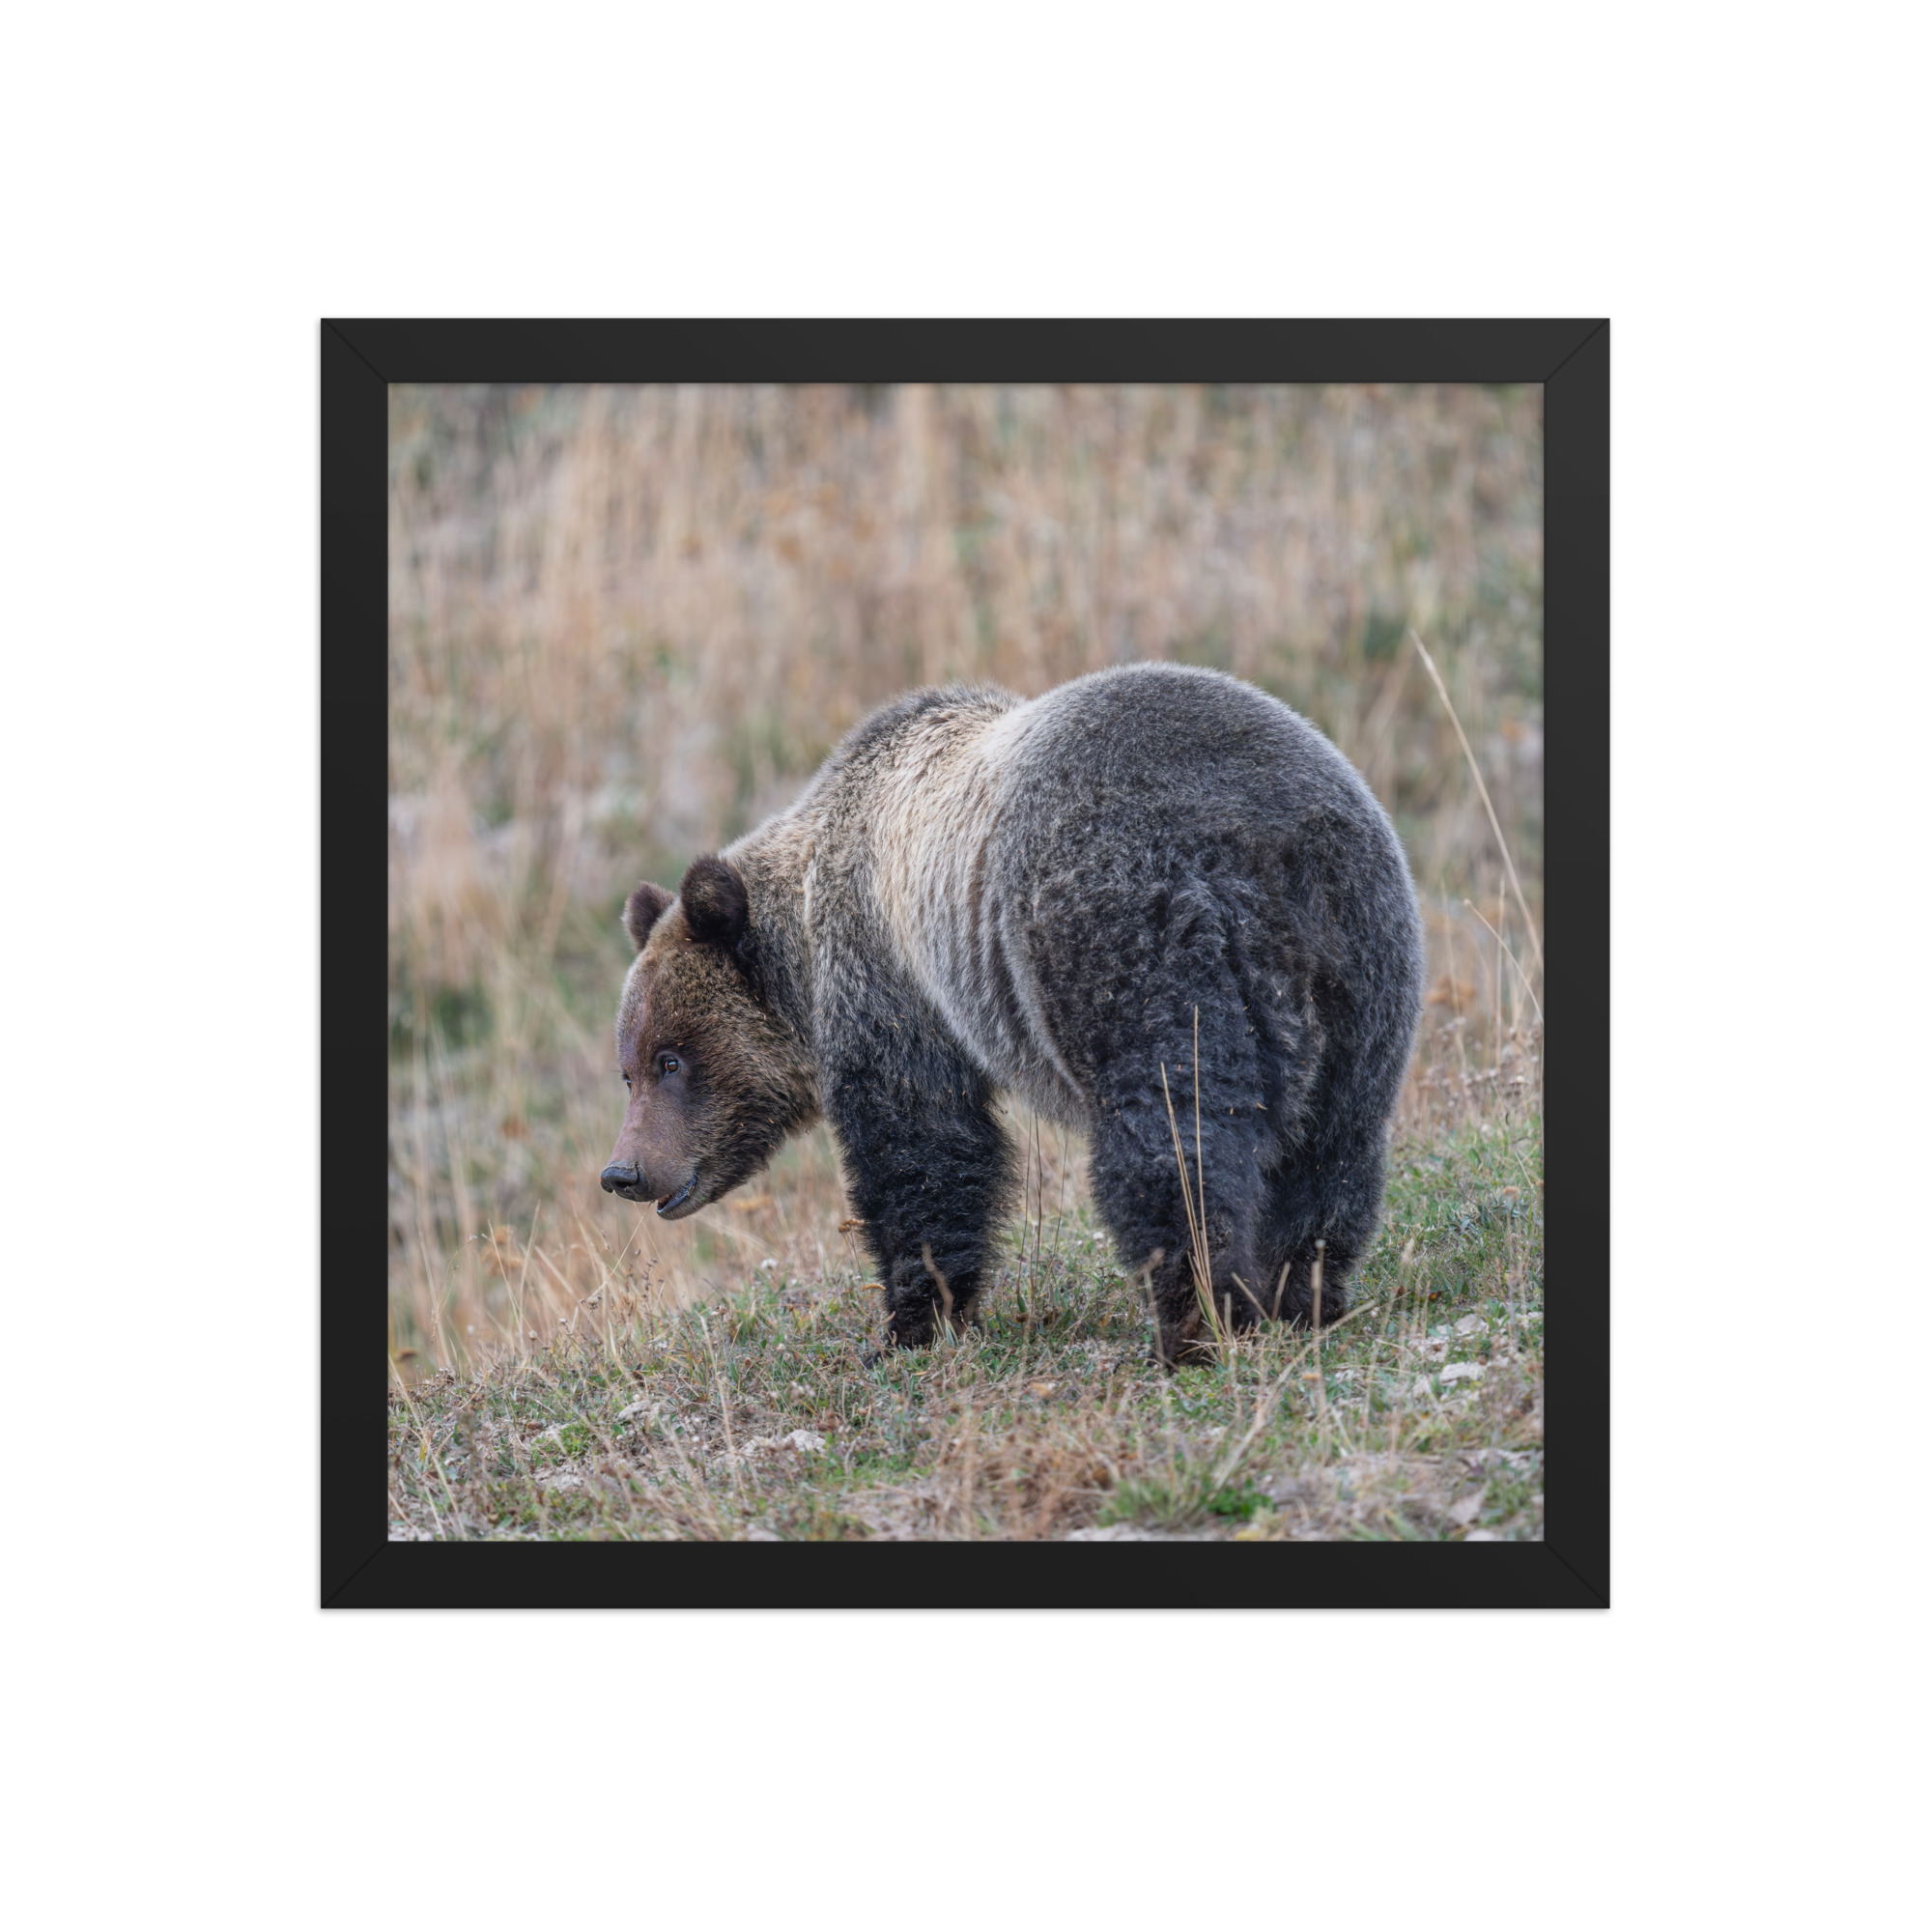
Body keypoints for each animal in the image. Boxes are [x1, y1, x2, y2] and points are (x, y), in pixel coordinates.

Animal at [601, 661, 1424, 1367]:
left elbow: (923, 1148)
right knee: (1333, 1145)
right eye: (629, 1068)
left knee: (1173, 1140)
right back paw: (1302, 1294)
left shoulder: (892, 982)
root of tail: (1262, 845)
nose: (624, 1171)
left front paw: (910, 1323)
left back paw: (1195, 1322)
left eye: (671, 1059)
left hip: (1129, 938)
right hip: (1361, 962)